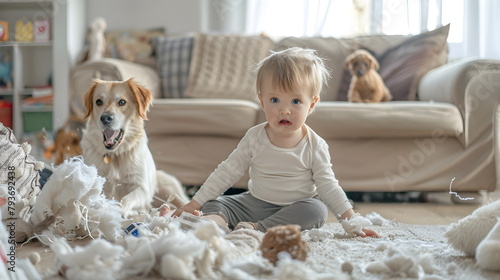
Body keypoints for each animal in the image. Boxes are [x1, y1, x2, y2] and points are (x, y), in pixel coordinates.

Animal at [81, 77, 188, 218]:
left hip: (170, 185)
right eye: (98, 101)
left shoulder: (142, 188)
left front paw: (121, 211)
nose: (105, 118)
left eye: (122, 102)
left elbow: (127, 198)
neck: (115, 155)